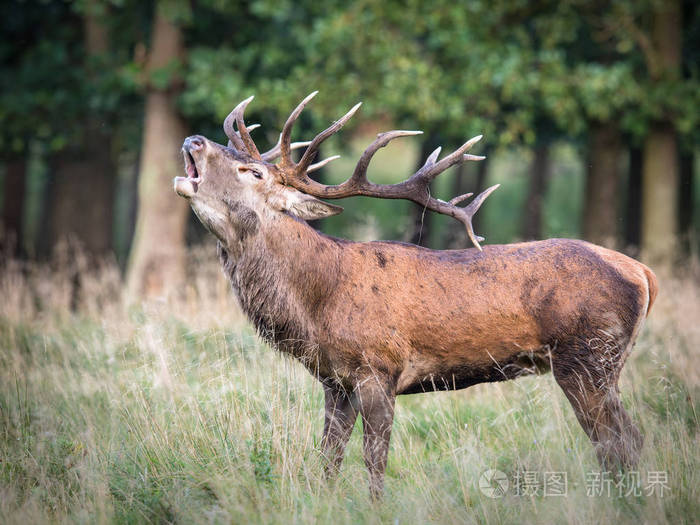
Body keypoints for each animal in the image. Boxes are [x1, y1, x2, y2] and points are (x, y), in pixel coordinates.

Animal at [174, 92, 656, 498]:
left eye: (253, 171)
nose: (193, 139)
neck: (319, 301)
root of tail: (642, 273)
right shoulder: (335, 382)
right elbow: (329, 457)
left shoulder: (379, 368)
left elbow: (374, 460)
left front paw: (375, 507)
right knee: (624, 442)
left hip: (589, 358)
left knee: (622, 442)